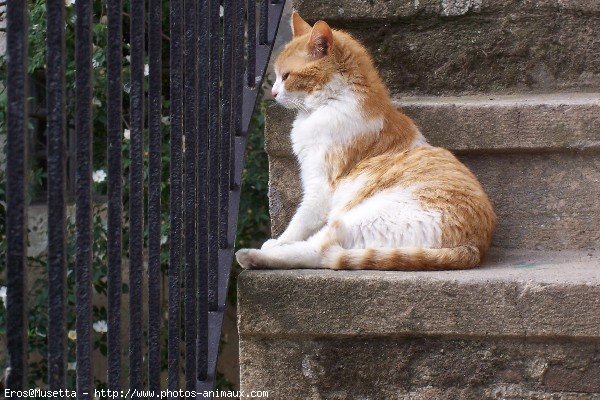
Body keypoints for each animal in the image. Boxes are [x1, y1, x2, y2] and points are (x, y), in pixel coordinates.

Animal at [236, 12, 496, 270]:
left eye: (286, 76)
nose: (273, 93)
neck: (331, 101)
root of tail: (473, 246)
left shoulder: (319, 187)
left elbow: (299, 222)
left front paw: (280, 241)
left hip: (360, 217)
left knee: (320, 249)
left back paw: (254, 255)